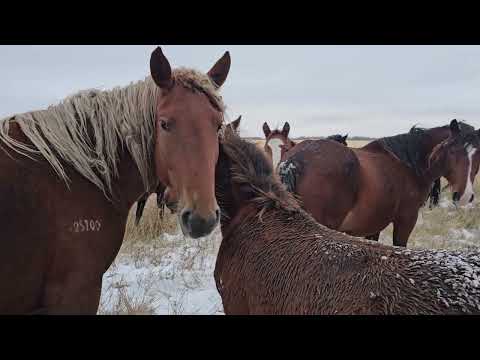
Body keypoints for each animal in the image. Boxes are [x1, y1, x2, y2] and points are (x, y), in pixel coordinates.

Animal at [278, 119, 480, 246]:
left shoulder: (373, 223)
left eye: (478, 154)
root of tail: (295, 160)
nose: (465, 196)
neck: (409, 163)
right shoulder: (406, 220)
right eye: (452, 151)